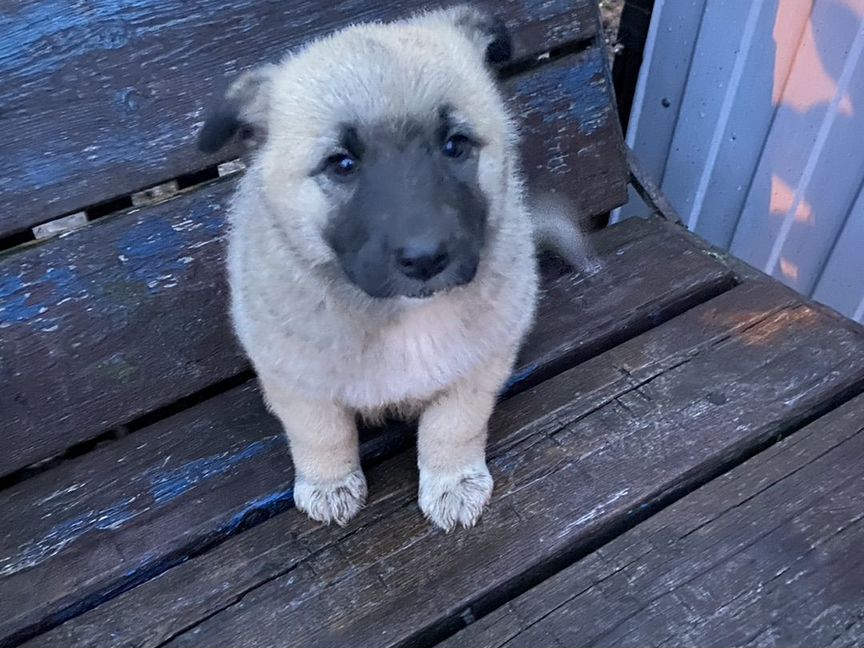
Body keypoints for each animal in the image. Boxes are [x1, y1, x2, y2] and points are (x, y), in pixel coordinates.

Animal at [197, 6, 552, 532]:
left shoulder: (481, 361)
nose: (425, 258)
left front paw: (453, 483)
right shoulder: (297, 377)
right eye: (341, 164)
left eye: (455, 145)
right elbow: (321, 432)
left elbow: (454, 425)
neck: (402, 317)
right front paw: (330, 483)